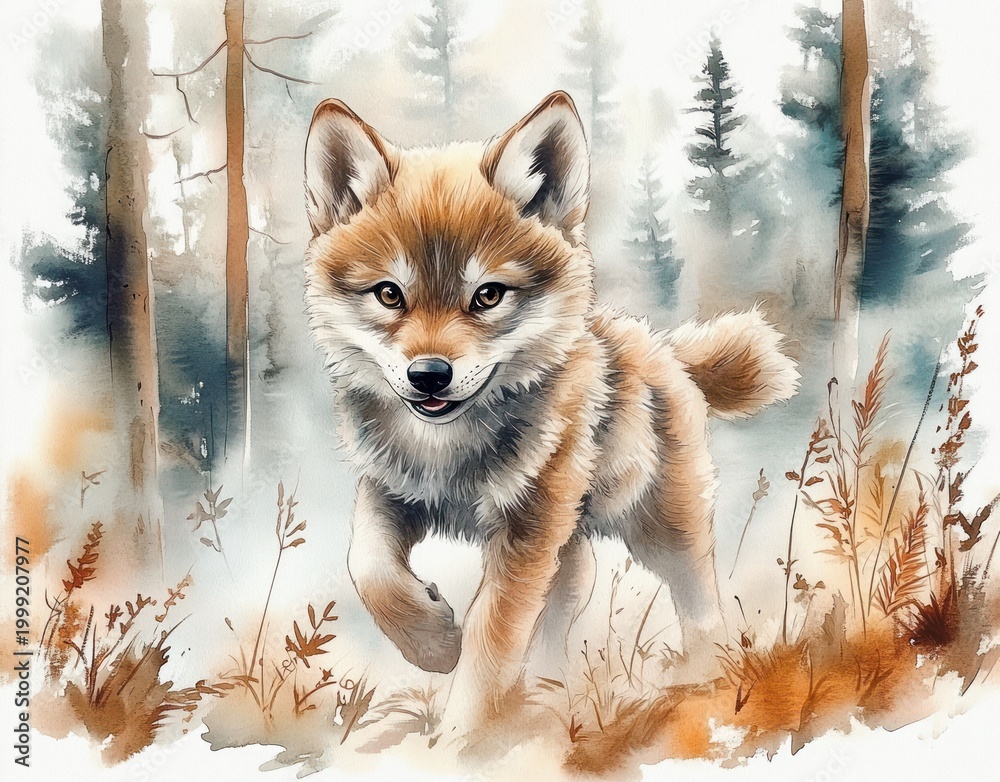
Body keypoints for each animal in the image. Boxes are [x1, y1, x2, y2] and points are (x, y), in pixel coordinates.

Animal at [302, 91, 798, 746]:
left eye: (487, 296)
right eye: (389, 294)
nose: (429, 375)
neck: (448, 452)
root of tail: (662, 348)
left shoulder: (523, 539)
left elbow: (491, 645)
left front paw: (458, 742)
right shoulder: (391, 493)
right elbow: (370, 571)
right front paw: (436, 645)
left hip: (656, 530)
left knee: (701, 604)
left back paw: (701, 676)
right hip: (569, 550)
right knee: (559, 620)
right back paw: (547, 697)